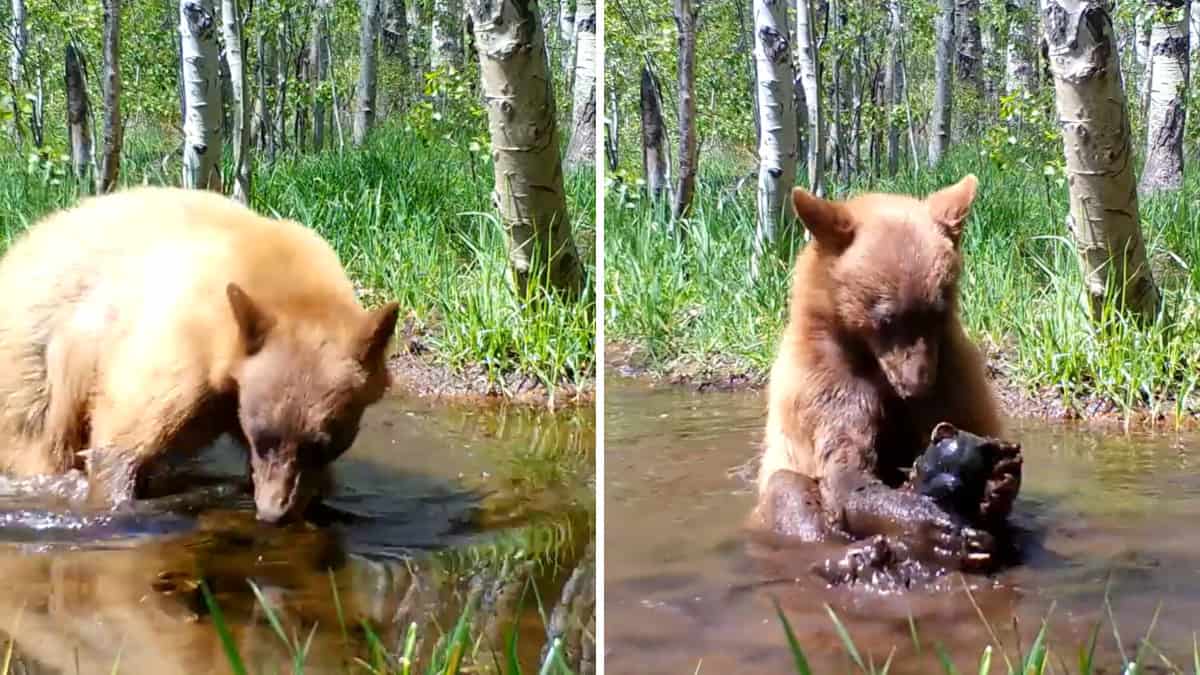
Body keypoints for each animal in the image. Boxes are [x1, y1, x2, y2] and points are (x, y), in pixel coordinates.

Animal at [0, 186, 403, 523]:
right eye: (264, 438)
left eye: (320, 446)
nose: (274, 514)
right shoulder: (177, 346)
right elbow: (123, 439)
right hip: (31, 368)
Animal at [753, 174, 1017, 571]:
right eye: (886, 318)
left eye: (937, 311)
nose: (917, 384)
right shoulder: (826, 381)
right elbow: (846, 469)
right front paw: (933, 526)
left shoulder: (954, 374)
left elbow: (969, 421)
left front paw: (996, 484)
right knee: (786, 491)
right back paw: (853, 556)